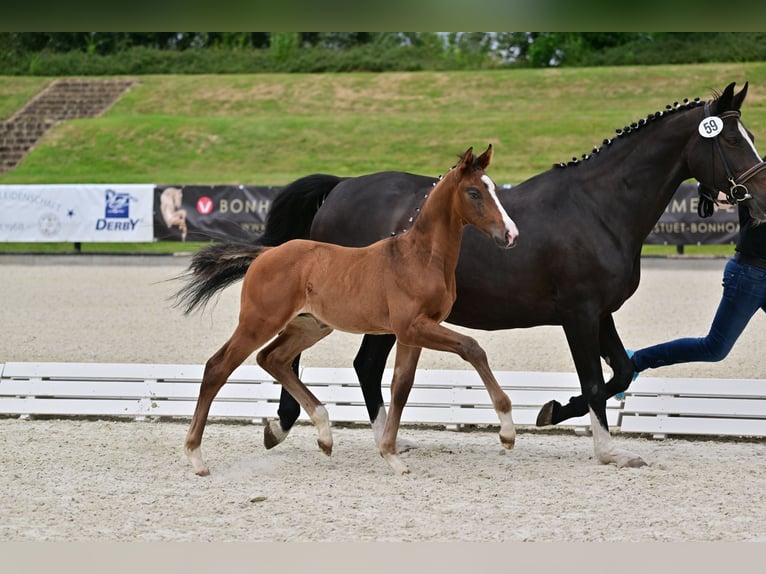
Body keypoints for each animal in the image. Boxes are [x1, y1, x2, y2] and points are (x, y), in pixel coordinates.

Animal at [177, 146, 520, 474]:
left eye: (493, 189)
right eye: (473, 192)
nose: (510, 234)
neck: (420, 257)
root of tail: (266, 253)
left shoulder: (412, 333)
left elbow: (401, 386)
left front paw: (391, 455)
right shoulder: (413, 326)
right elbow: (472, 348)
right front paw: (507, 432)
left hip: (311, 326)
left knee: (272, 358)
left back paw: (323, 433)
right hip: (259, 321)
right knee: (218, 367)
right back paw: (196, 457)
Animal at [264, 82, 766, 468]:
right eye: (732, 141)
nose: (760, 197)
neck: (598, 207)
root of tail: (340, 188)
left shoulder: (601, 314)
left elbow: (621, 373)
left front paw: (553, 411)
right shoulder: (579, 314)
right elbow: (594, 381)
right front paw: (606, 451)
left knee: (362, 366)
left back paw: (376, 438)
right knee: (329, 361)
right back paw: (305, 428)